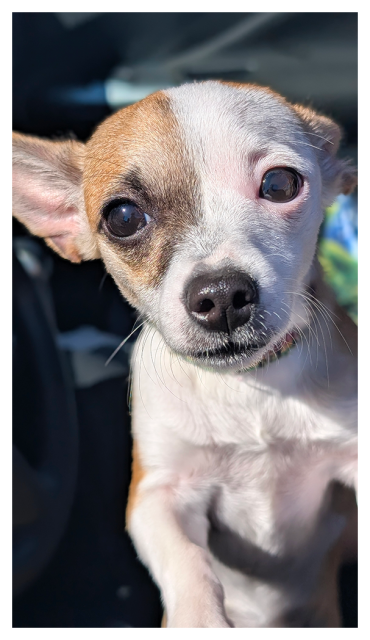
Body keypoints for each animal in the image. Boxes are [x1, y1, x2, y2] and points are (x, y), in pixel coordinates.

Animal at [13, 80, 356, 624]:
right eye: (123, 217)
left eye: (280, 184)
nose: (221, 295)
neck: (249, 389)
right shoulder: (158, 496)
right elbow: (187, 564)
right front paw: (199, 619)